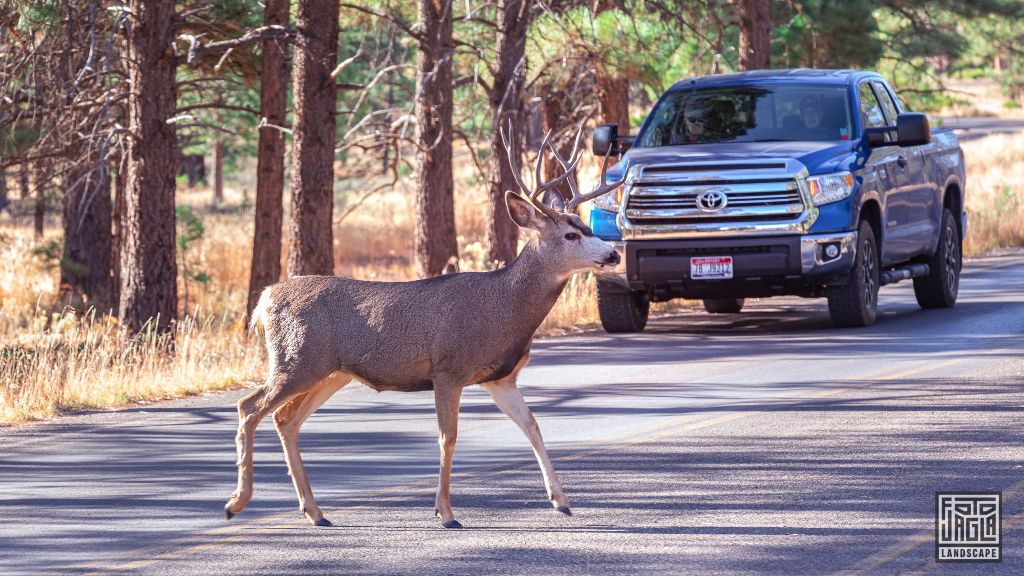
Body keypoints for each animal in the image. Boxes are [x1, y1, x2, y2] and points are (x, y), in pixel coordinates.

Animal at [226, 123, 622, 528]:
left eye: (586, 225)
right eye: (571, 235)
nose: (612, 254)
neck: (504, 309)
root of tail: (265, 299)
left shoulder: (500, 378)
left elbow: (533, 427)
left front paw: (562, 501)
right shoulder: (448, 369)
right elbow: (448, 438)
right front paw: (445, 512)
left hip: (331, 371)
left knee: (286, 419)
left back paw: (314, 511)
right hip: (297, 360)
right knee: (249, 407)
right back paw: (237, 502)